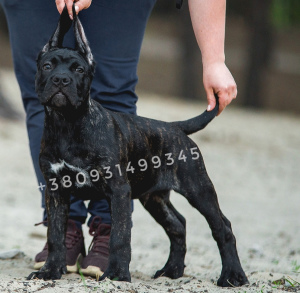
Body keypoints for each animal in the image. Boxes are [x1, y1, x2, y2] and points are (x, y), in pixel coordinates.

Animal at [27, 7, 248, 288]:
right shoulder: (56, 191)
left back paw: (233, 275)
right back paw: (172, 270)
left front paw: (117, 274)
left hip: (199, 189)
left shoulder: (118, 190)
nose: (61, 79)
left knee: (222, 227)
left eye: (78, 69)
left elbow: (120, 237)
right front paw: (50, 270)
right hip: (153, 197)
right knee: (178, 225)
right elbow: (56, 234)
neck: (67, 123)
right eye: (47, 66)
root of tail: (175, 127)